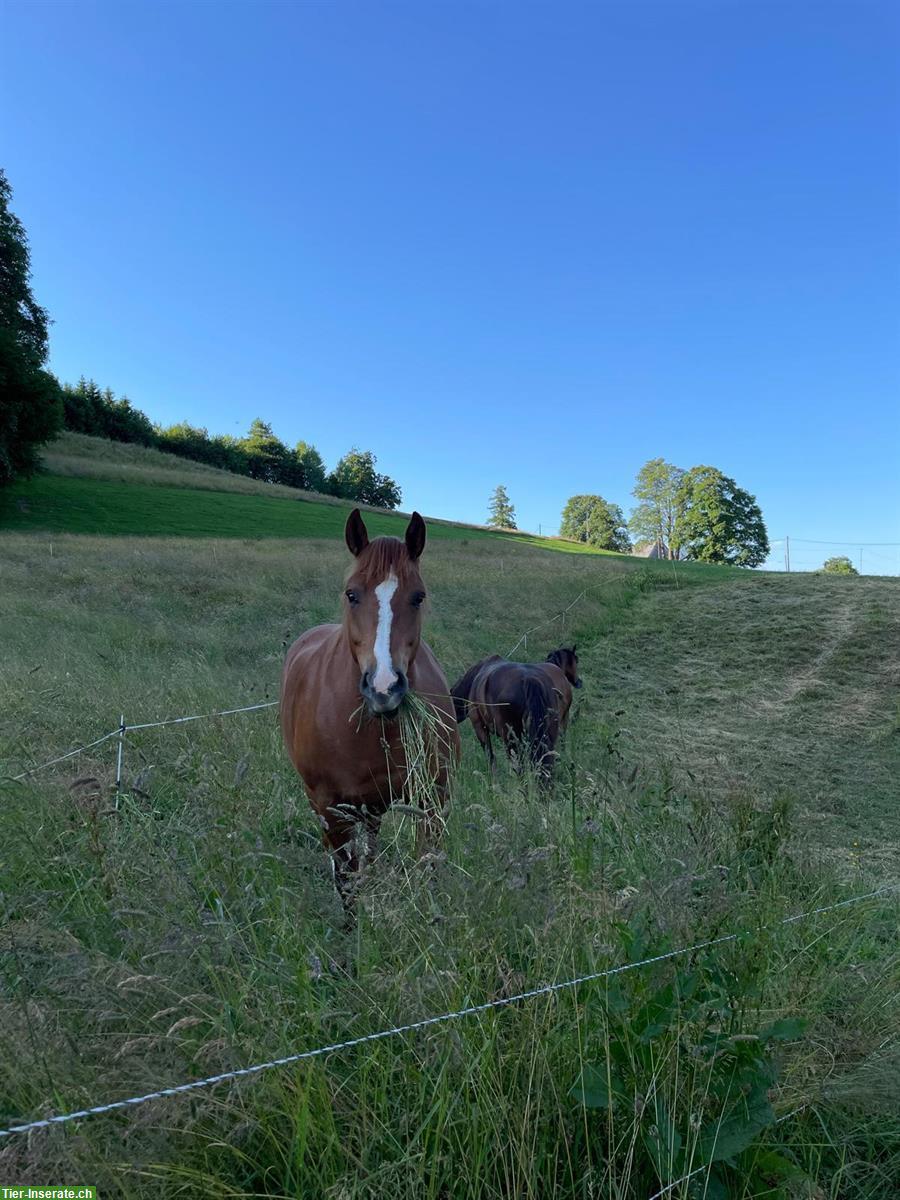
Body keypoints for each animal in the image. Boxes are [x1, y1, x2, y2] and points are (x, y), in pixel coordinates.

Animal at [280, 506, 458, 902]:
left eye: (418, 597)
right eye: (352, 594)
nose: (384, 687)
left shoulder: (433, 803)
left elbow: (428, 871)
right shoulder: (331, 810)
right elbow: (345, 884)